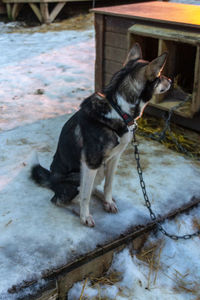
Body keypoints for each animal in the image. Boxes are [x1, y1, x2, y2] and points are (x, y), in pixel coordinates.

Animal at [31, 44, 170, 227]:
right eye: (159, 76)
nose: (171, 80)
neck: (118, 109)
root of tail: (51, 178)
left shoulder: (114, 158)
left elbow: (108, 185)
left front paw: (108, 201)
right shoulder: (90, 163)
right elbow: (85, 196)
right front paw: (84, 216)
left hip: (100, 170)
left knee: (91, 188)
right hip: (80, 176)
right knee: (62, 198)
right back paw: (75, 209)